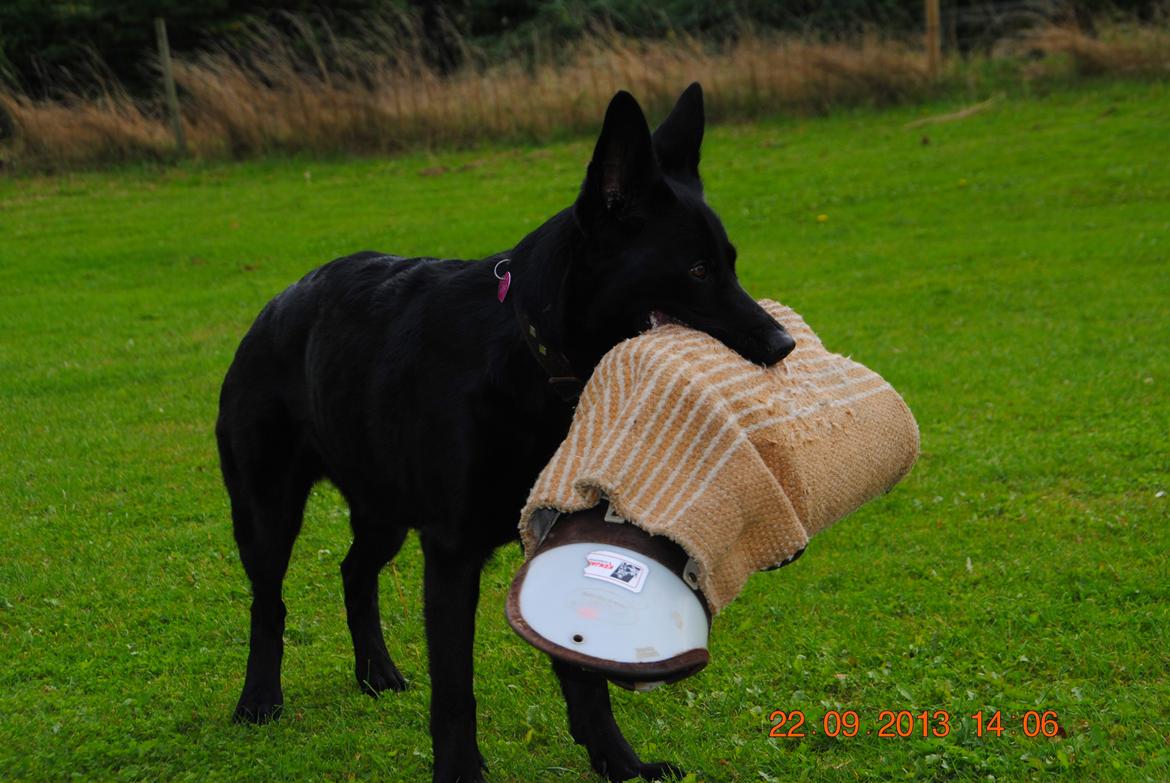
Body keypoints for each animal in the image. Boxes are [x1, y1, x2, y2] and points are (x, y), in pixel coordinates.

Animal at [217, 82, 795, 777]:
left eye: (729, 263)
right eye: (698, 271)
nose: (783, 345)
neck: (536, 361)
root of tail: (271, 309)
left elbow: (584, 669)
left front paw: (620, 765)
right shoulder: (451, 552)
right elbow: (454, 689)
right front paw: (461, 772)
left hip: (382, 510)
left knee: (355, 572)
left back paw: (376, 673)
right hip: (268, 514)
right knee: (268, 602)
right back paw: (259, 699)